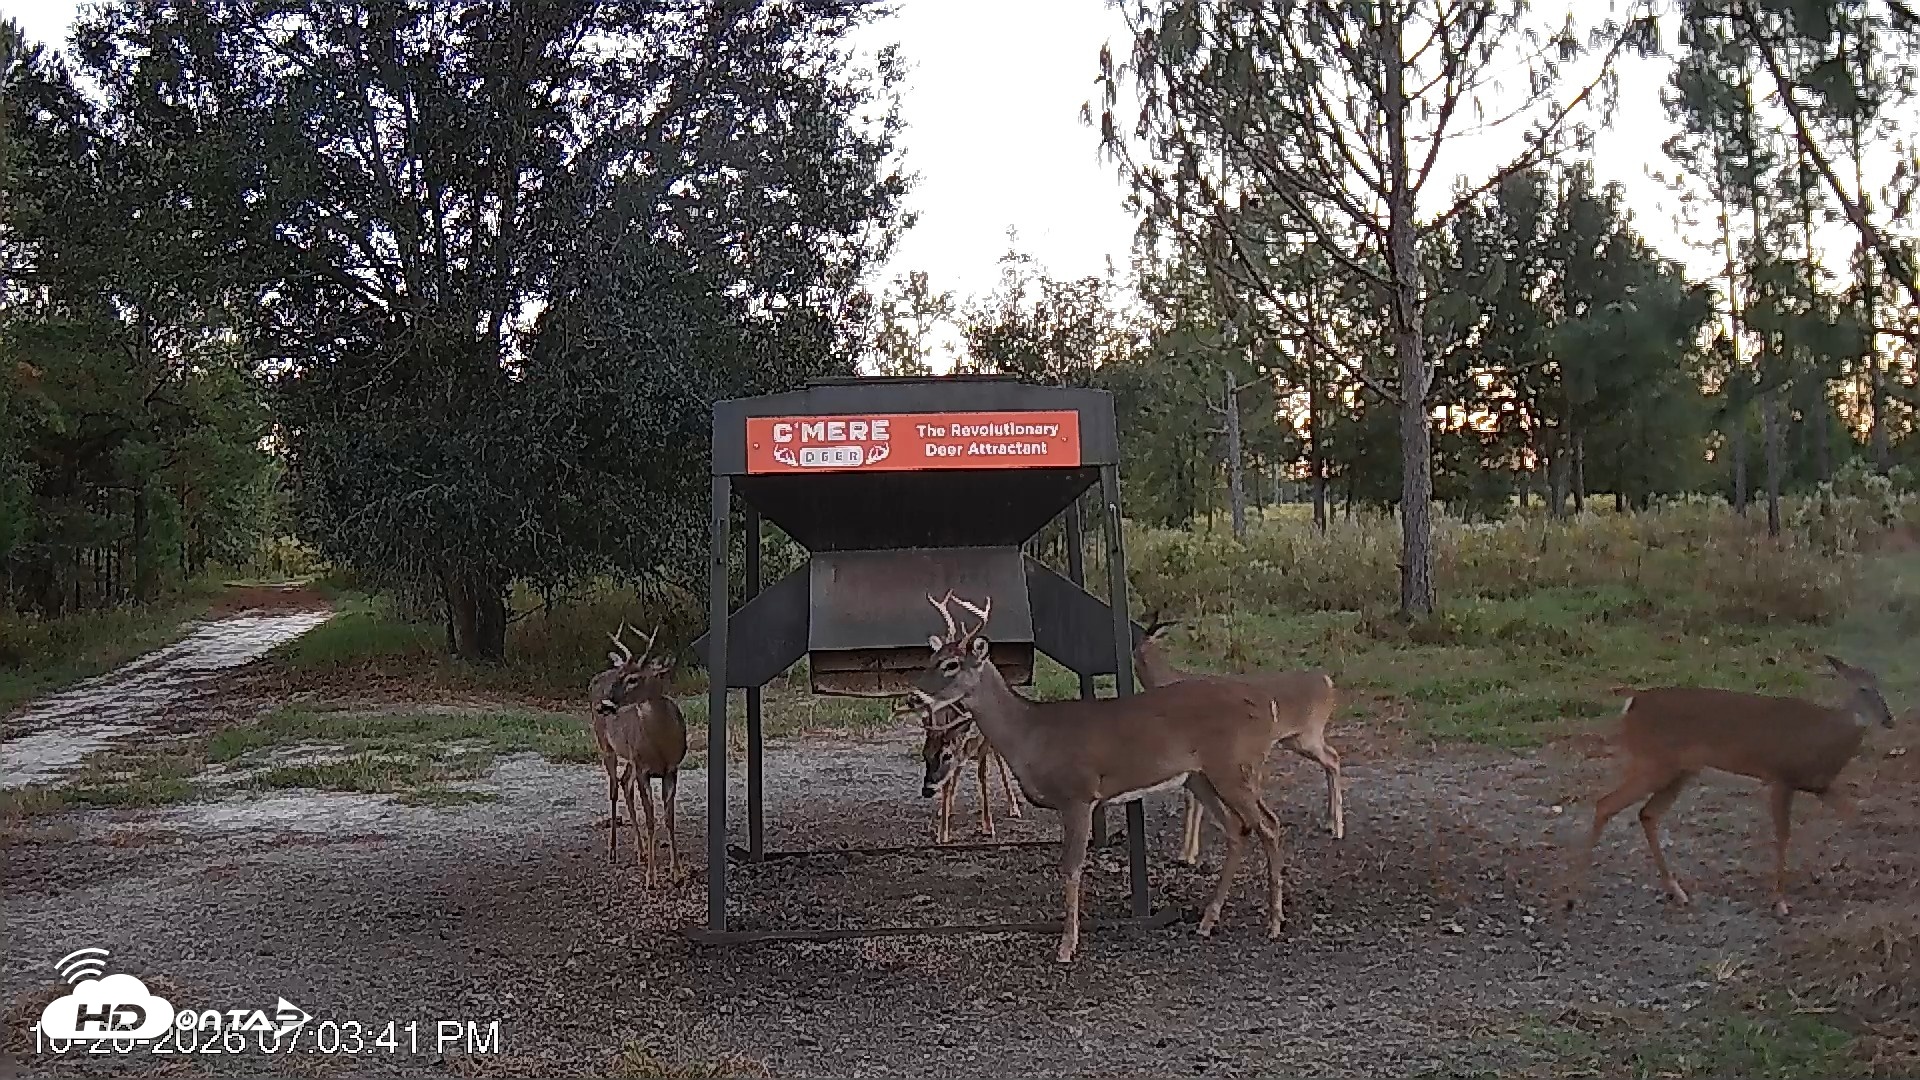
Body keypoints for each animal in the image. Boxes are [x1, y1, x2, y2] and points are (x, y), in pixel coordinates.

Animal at [590, 622, 688, 887]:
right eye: (619, 676)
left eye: (633, 678)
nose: (604, 705)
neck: (661, 746)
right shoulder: (644, 769)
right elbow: (651, 819)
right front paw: (651, 878)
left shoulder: (671, 769)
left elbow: (669, 818)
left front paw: (677, 873)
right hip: (606, 746)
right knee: (614, 789)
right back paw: (613, 851)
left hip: (630, 757)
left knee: (625, 783)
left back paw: (641, 850)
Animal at [893, 697, 1024, 843]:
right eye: (924, 754)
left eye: (947, 755)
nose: (927, 791)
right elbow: (948, 783)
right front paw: (942, 834)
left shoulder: (983, 740)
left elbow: (982, 775)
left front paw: (988, 827)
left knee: (998, 756)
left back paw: (1014, 808)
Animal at [912, 591, 1291, 964]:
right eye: (933, 658)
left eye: (951, 664)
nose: (914, 696)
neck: (1031, 734)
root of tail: (1268, 705)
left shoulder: (1079, 794)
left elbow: (1071, 867)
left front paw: (1067, 946)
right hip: (1199, 776)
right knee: (1237, 829)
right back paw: (1208, 921)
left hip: (1233, 767)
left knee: (1268, 825)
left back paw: (1274, 923)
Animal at [1132, 616, 1345, 865]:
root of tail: (1327, 681)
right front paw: (1188, 853)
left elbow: (1192, 801)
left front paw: (1188, 854)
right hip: (1296, 738)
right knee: (1331, 759)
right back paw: (1330, 823)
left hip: (1307, 734)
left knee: (1333, 758)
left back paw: (1338, 828)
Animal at [1564, 654, 1898, 918]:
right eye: (1863, 689)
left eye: (1880, 687)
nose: (1889, 720)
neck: (1823, 739)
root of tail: (1633, 702)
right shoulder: (1780, 777)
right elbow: (1783, 834)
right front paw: (1780, 902)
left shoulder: (1819, 787)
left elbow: (1853, 816)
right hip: (1653, 762)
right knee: (1605, 804)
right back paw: (1572, 897)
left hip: (1679, 771)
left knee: (1647, 813)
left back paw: (1677, 892)